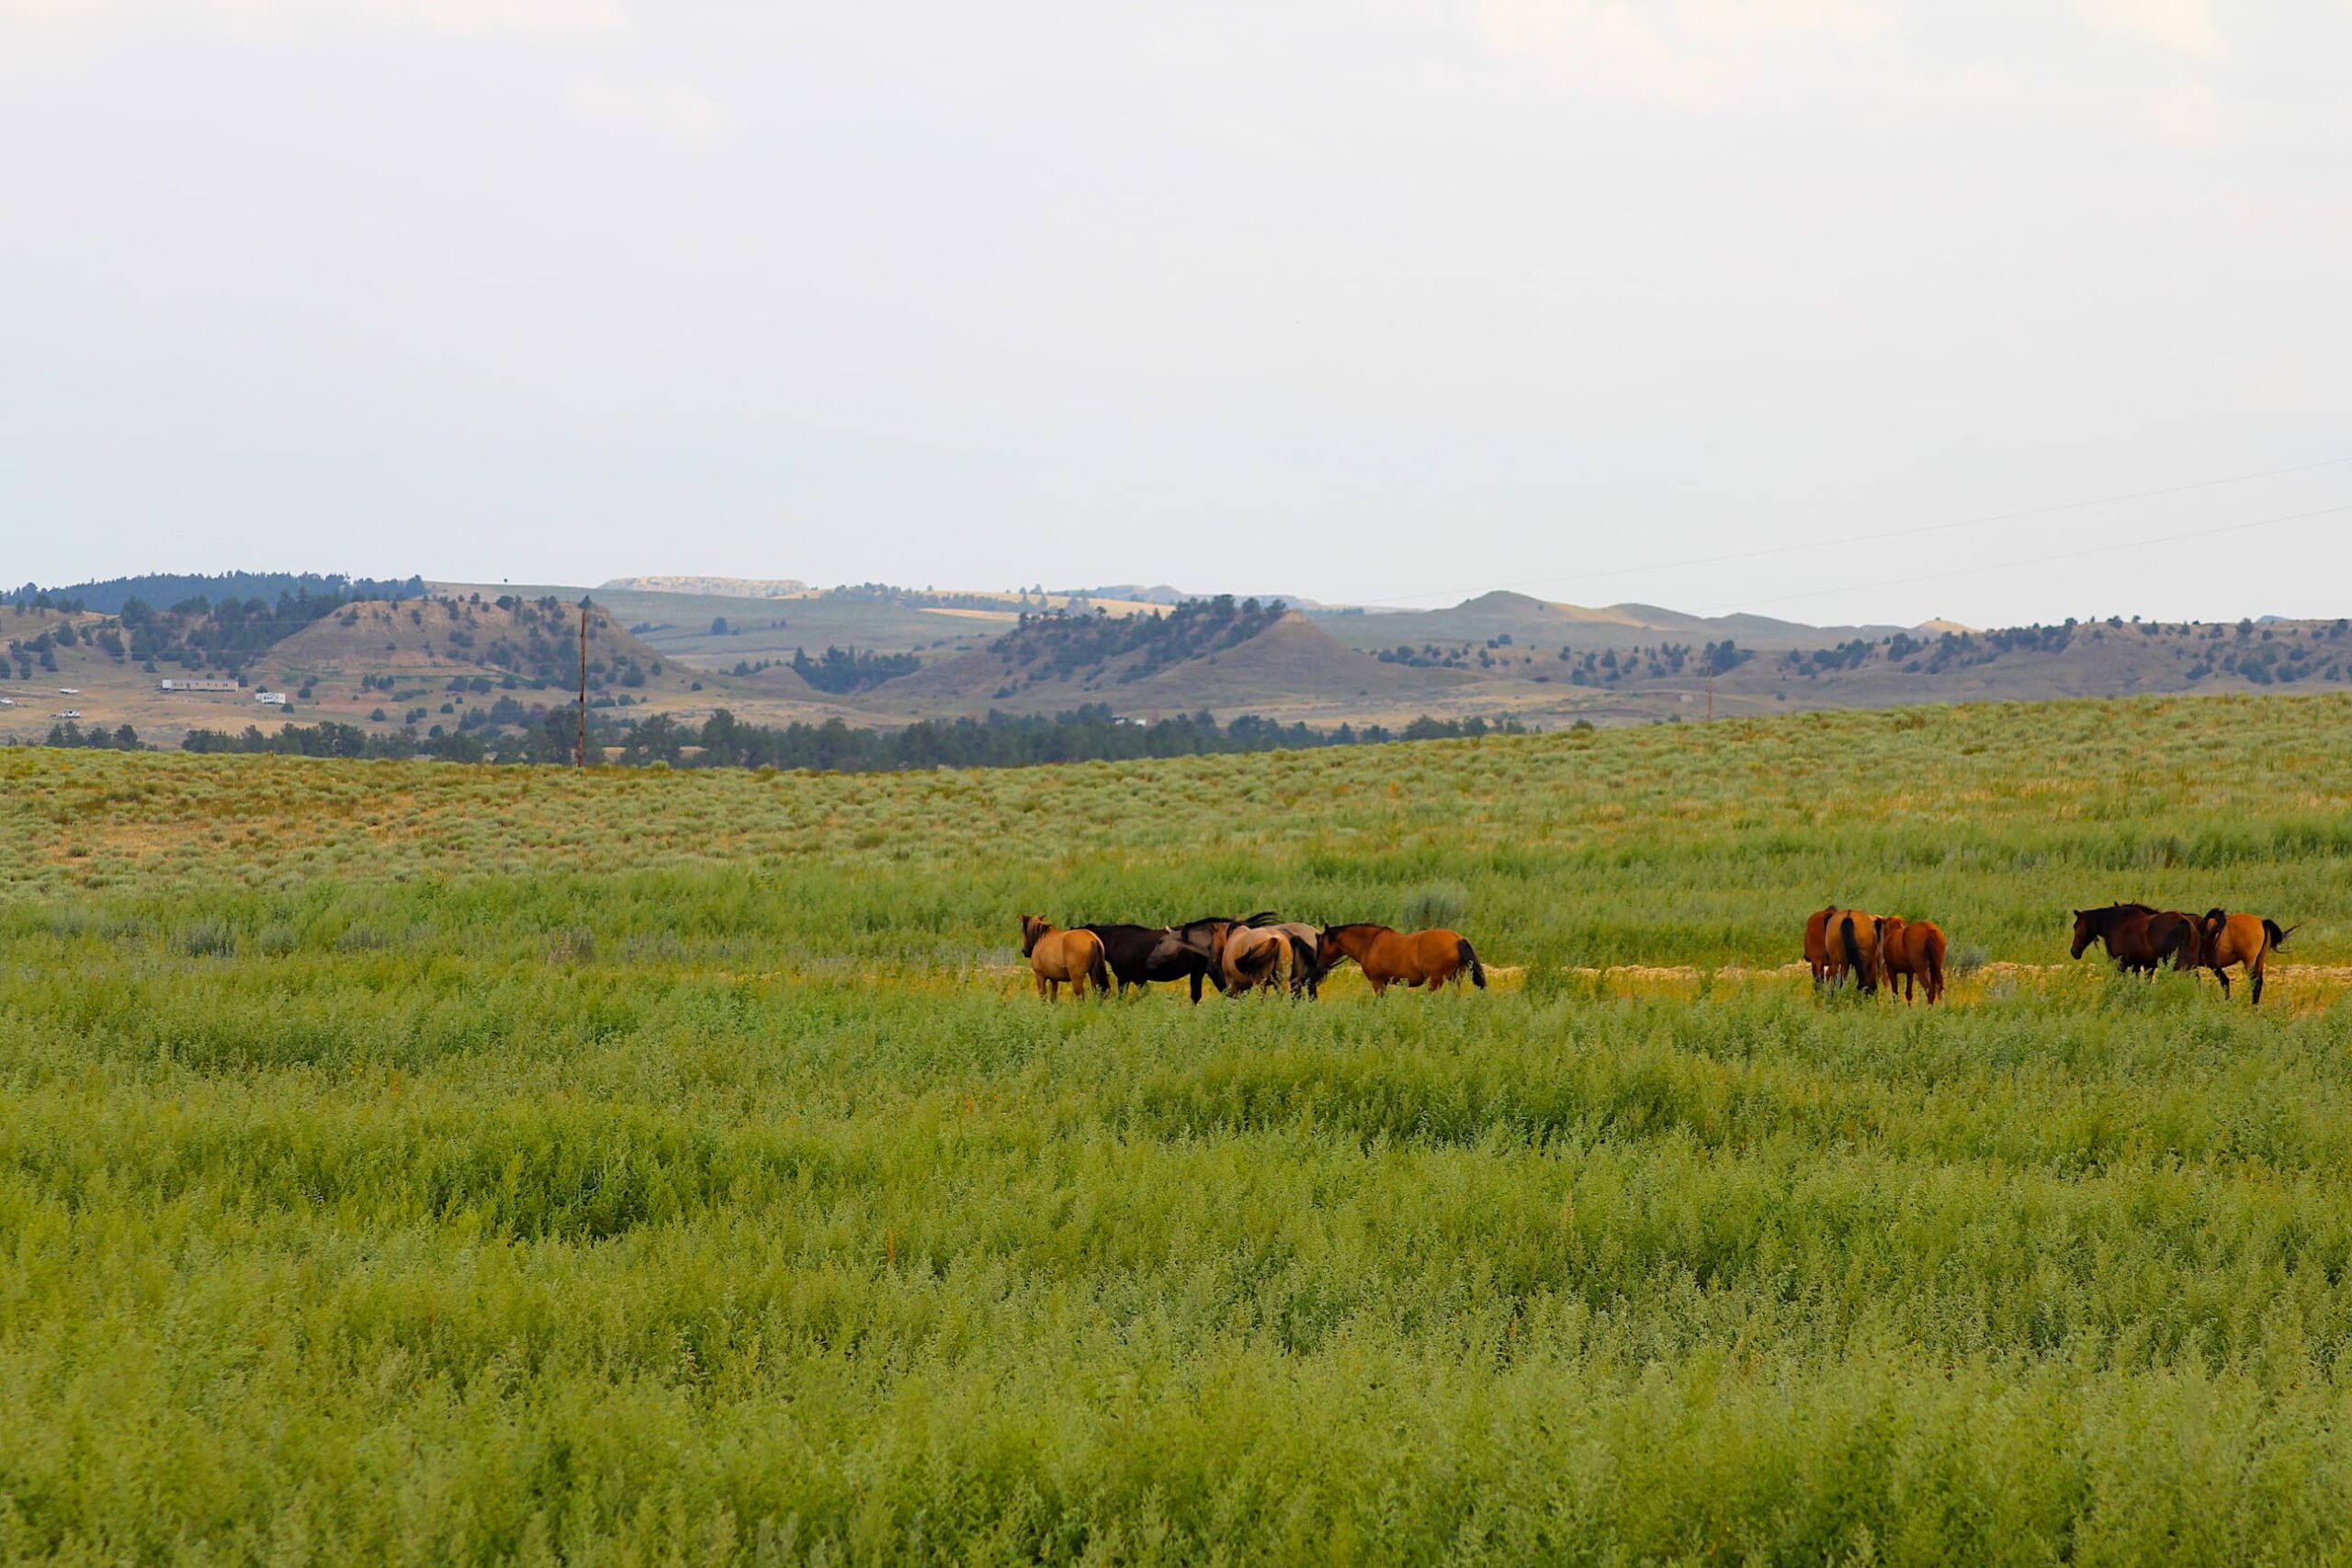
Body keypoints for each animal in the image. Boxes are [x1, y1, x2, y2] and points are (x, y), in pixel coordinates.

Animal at [1315, 923, 1486, 995]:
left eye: (1322, 942)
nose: (1319, 965)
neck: (1370, 943)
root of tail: (1456, 938)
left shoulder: (1378, 982)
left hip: (1435, 981)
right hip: (1456, 978)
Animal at [2069, 903, 2198, 977]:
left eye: (2076, 926)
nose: (2074, 951)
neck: (2113, 923)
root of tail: (2184, 922)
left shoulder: (2122, 964)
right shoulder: (2140, 965)